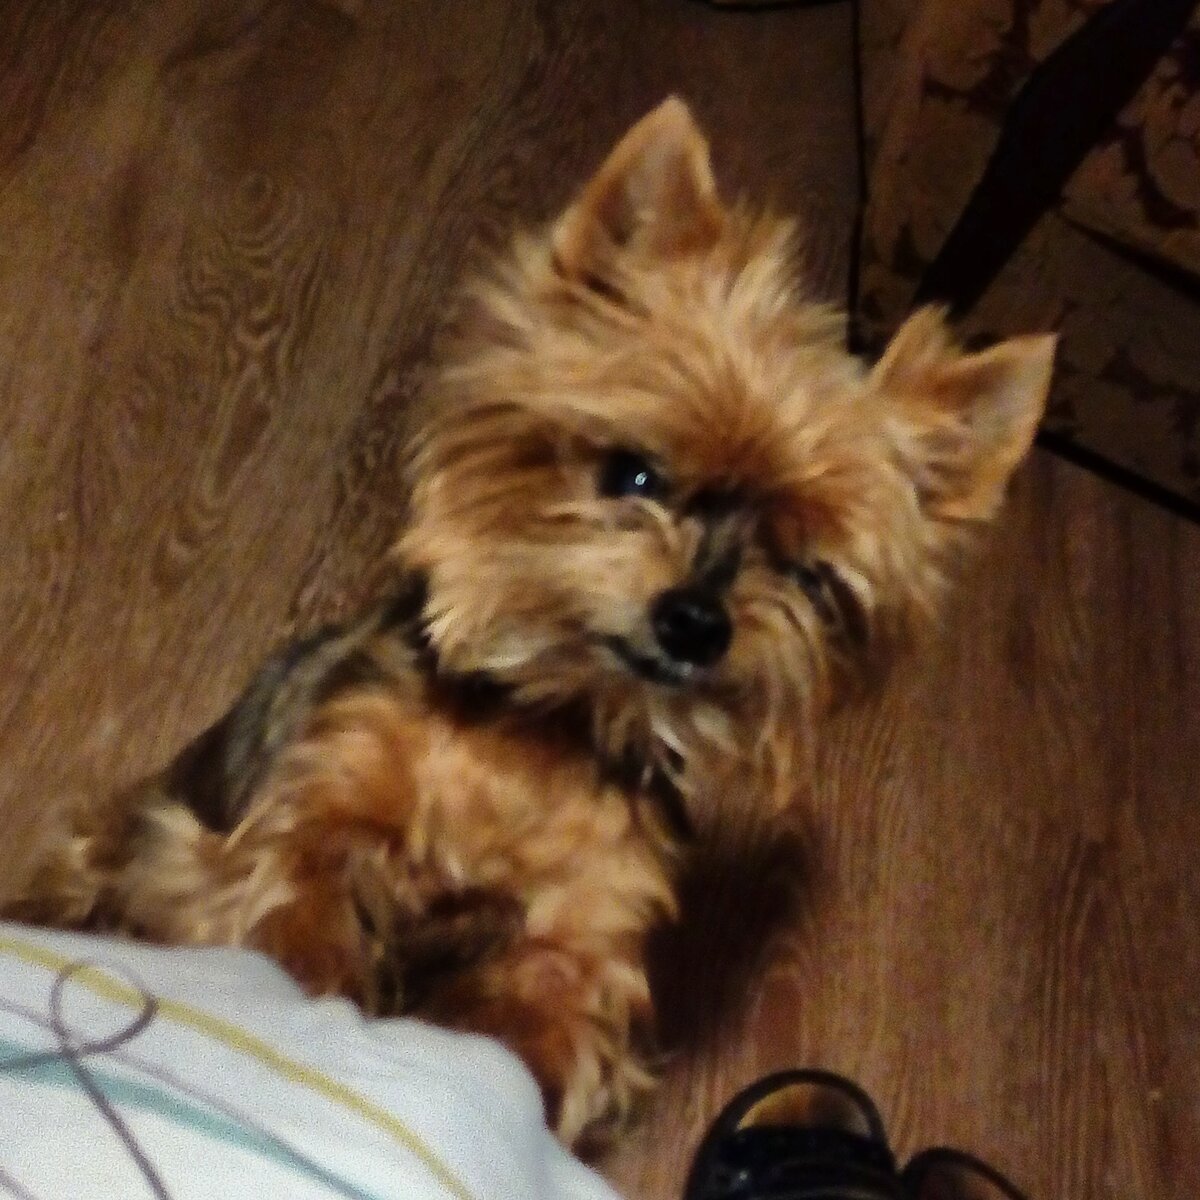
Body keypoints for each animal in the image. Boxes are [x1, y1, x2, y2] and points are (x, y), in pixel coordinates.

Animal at [4, 98, 1055, 1148]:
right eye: (634, 474)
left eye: (806, 571)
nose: (695, 622)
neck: (544, 727)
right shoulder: (306, 807)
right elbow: (288, 903)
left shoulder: (584, 936)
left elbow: (543, 1021)